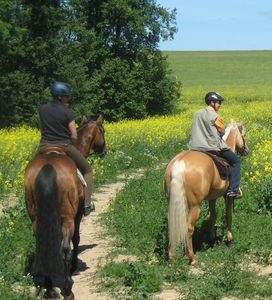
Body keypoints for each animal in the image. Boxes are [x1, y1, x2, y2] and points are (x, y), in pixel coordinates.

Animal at [24, 114, 106, 298]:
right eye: (103, 131)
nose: (104, 151)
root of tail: (48, 166)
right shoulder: (77, 215)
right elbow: (76, 238)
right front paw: (74, 268)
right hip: (68, 217)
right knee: (66, 247)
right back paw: (67, 288)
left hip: (36, 219)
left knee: (43, 246)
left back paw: (50, 289)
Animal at [165, 119, 250, 264]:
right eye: (243, 134)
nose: (246, 150)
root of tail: (179, 164)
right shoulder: (228, 197)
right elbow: (229, 216)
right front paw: (230, 239)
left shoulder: (212, 198)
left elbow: (213, 217)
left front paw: (212, 239)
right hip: (195, 206)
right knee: (189, 228)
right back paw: (192, 258)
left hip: (173, 202)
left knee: (173, 226)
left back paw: (172, 256)